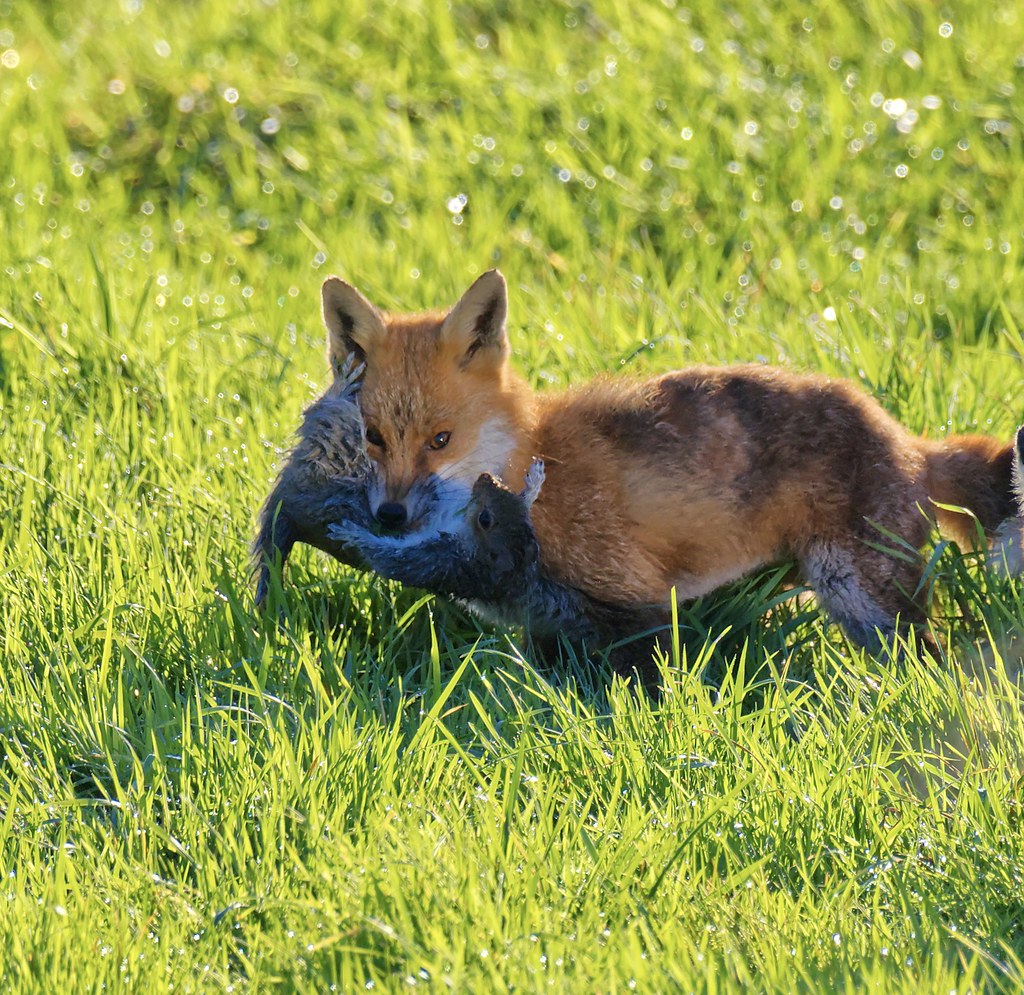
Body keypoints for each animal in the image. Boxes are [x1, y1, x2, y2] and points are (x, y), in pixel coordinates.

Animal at [320, 268, 1024, 654]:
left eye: (440, 440)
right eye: (373, 438)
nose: (388, 516)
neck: (529, 470)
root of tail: (905, 439)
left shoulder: (633, 603)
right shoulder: (550, 624)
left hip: (865, 599)